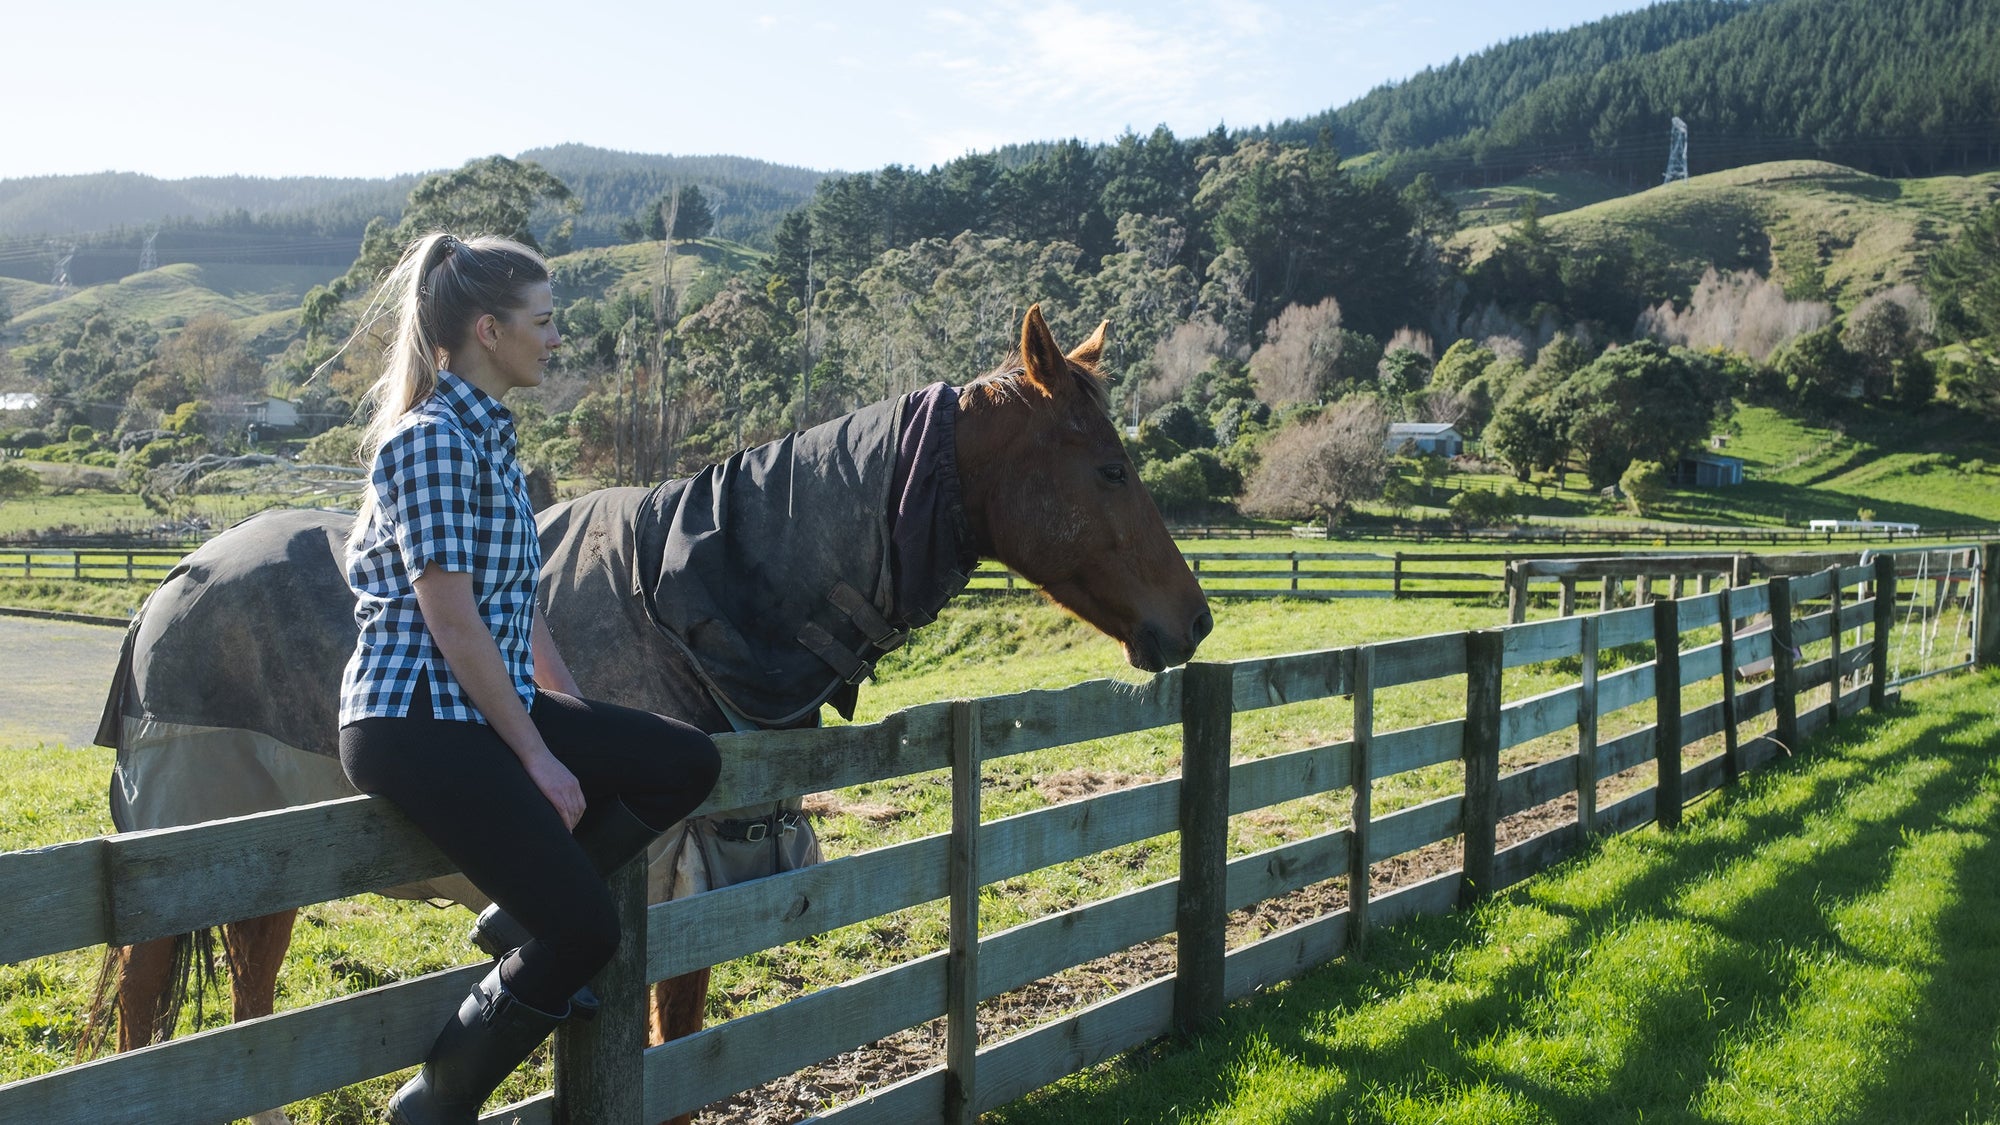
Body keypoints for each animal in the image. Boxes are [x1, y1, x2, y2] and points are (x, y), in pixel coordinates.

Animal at [94, 302, 1208, 1112]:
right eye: (1110, 467)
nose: (1191, 621)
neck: (688, 599)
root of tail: (166, 588)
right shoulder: (669, 889)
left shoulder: (714, 875)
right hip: (180, 855)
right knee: (145, 1018)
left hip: (259, 866)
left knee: (252, 1002)